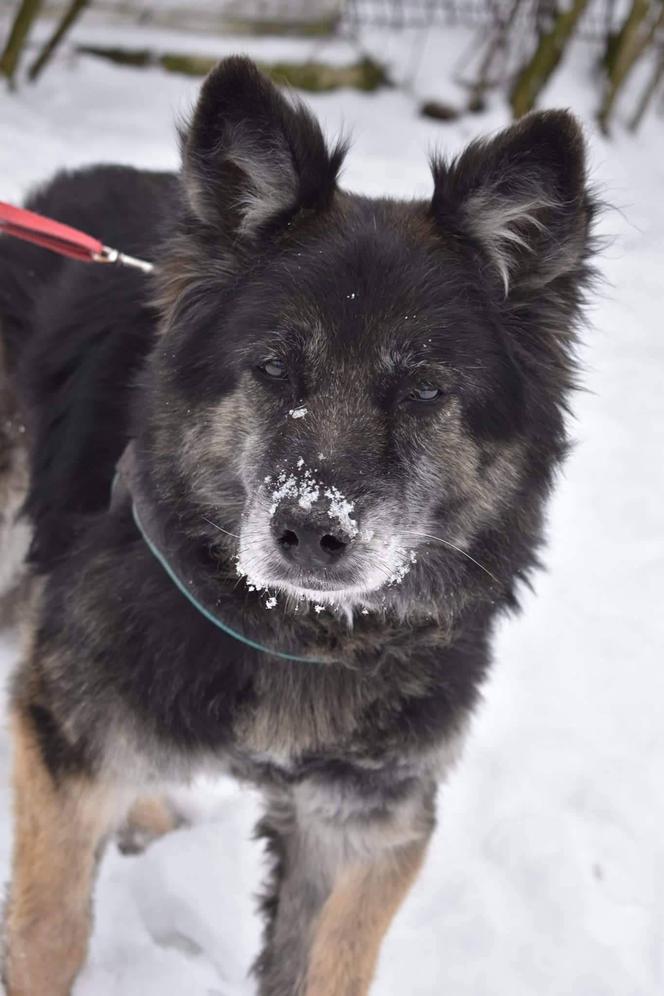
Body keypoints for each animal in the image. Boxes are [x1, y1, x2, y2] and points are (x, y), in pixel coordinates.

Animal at [0, 56, 600, 996]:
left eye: (423, 390)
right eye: (277, 369)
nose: (314, 532)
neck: (301, 629)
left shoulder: (362, 820)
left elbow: (326, 963)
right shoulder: (71, 740)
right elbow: (50, 929)